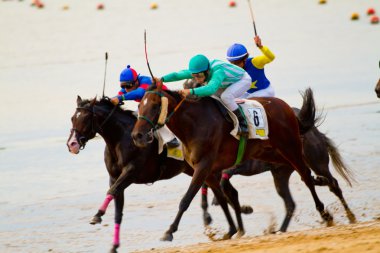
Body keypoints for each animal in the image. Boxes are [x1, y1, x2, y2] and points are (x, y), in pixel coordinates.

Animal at [65, 96, 243, 252]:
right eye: (73, 118)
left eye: (86, 118)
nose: (71, 144)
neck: (121, 138)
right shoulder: (114, 178)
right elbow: (118, 212)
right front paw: (114, 246)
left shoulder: (131, 172)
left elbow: (112, 191)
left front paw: (97, 215)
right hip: (199, 170)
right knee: (226, 193)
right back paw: (238, 226)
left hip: (205, 169)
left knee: (225, 192)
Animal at [132, 85, 334, 241]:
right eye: (140, 106)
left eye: (155, 105)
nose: (137, 136)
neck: (194, 124)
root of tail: (285, 106)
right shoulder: (208, 171)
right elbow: (222, 199)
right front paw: (231, 230)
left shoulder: (203, 166)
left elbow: (186, 199)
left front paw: (169, 231)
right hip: (270, 154)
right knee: (300, 172)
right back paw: (321, 181)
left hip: (290, 146)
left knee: (305, 174)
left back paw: (324, 212)